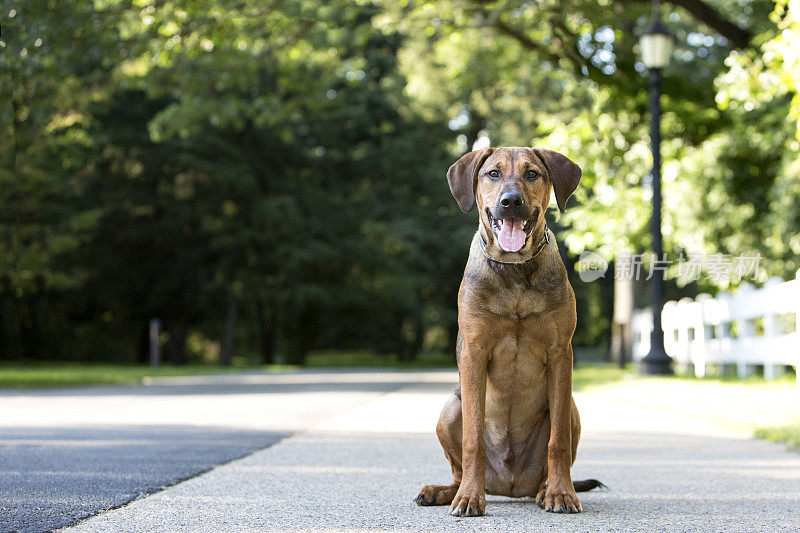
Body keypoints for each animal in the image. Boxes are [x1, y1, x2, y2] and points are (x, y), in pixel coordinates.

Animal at [416, 145, 604, 516]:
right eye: (493, 173)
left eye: (532, 174)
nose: (511, 201)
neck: (515, 271)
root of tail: (511, 486)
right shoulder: (474, 352)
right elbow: (473, 438)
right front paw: (469, 498)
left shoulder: (560, 352)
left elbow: (558, 441)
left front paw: (562, 493)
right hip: (450, 408)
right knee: (459, 469)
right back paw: (448, 491)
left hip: (572, 407)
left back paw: (547, 490)